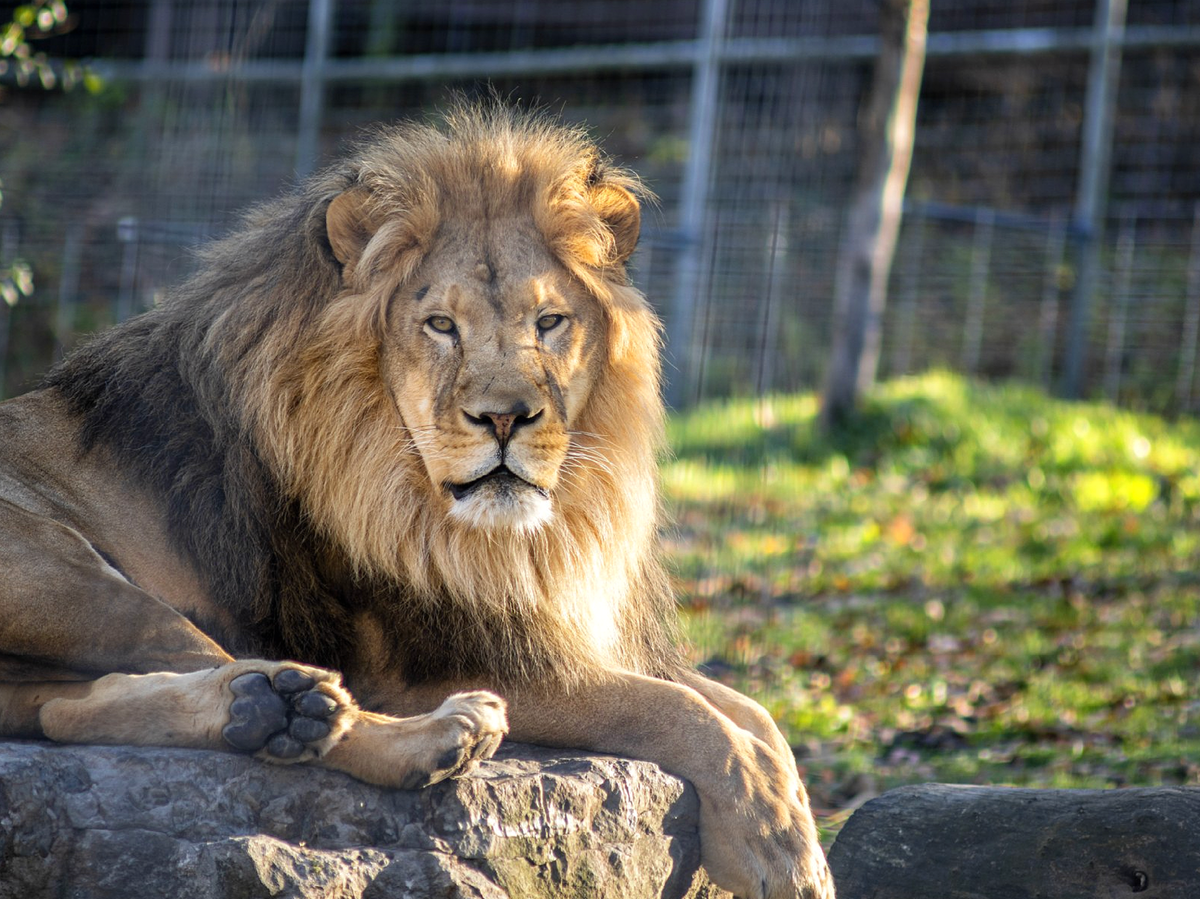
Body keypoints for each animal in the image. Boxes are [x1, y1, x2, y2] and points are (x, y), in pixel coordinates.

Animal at [0, 106, 835, 897]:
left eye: (549, 322)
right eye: (441, 325)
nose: (505, 417)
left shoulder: (552, 626)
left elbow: (752, 713)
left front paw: (794, 827)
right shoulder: (427, 659)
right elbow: (679, 712)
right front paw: (776, 849)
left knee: (71, 707)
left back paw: (266, 708)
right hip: (70, 575)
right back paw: (407, 729)